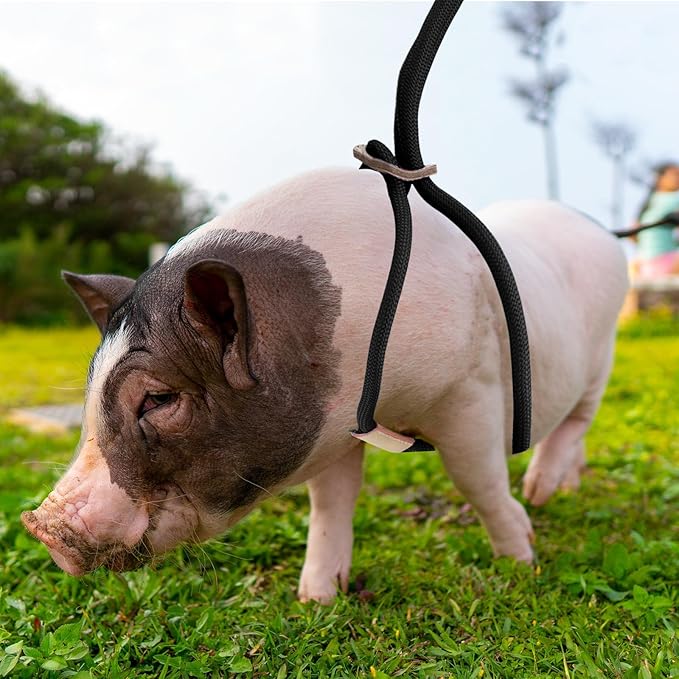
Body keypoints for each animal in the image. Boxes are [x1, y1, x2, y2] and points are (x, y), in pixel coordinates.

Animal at [22, 167, 628, 603]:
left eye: (159, 399)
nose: (41, 526)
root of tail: (603, 232)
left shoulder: (469, 389)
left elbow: (477, 481)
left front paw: (521, 560)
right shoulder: (337, 426)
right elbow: (332, 503)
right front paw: (316, 599)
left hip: (603, 353)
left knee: (578, 419)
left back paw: (540, 491)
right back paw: (561, 491)